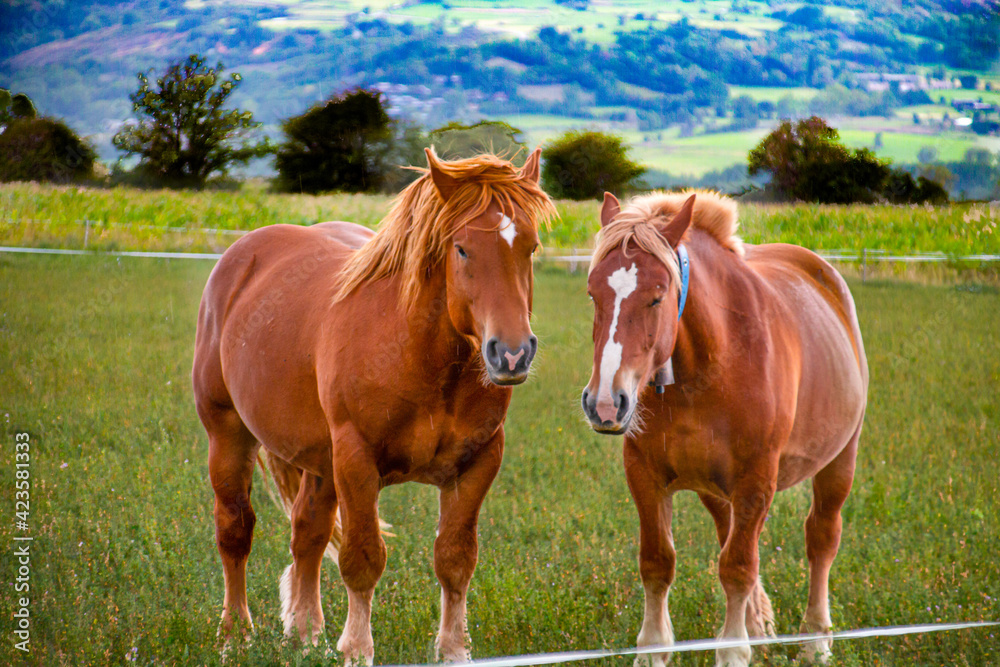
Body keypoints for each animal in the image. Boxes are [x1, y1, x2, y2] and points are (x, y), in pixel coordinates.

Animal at [193, 149, 556, 664]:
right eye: (462, 249)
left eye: (530, 246)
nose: (511, 354)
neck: (418, 355)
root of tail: (242, 254)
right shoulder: (356, 460)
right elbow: (362, 559)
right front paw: (357, 650)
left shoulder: (478, 463)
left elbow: (455, 559)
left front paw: (453, 650)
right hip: (229, 434)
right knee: (235, 531)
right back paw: (235, 636)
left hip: (320, 462)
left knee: (307, 532)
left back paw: (304, 634)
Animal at [580, 190, 868, 664]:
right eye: (593, 295)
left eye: (657, 296)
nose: (605, 403)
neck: (714, 358)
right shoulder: (644, 475)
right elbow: (657, 562)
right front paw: (653, 649)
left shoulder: (756, 479)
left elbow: (737, 568)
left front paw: (733, 649)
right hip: (714, 486)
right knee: (728, 532)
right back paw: (761, 623)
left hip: (839, 460)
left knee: (821, 538)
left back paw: (815, 639)